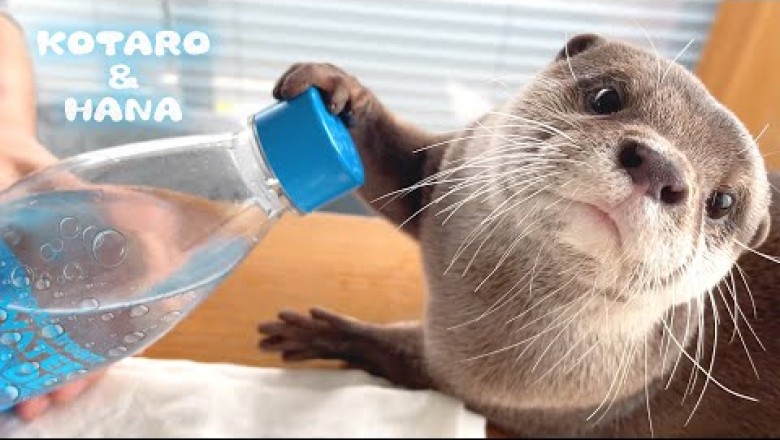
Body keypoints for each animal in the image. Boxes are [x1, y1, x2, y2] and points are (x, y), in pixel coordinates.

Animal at [258, 34, 779, 437]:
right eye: (607, 97)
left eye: (723, 203)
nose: (660, 167)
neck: (469, 296)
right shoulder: (451, 171)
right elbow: (404, 171)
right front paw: (338, 91)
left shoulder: (487, 386)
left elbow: (400, 357)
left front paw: (324, 332)